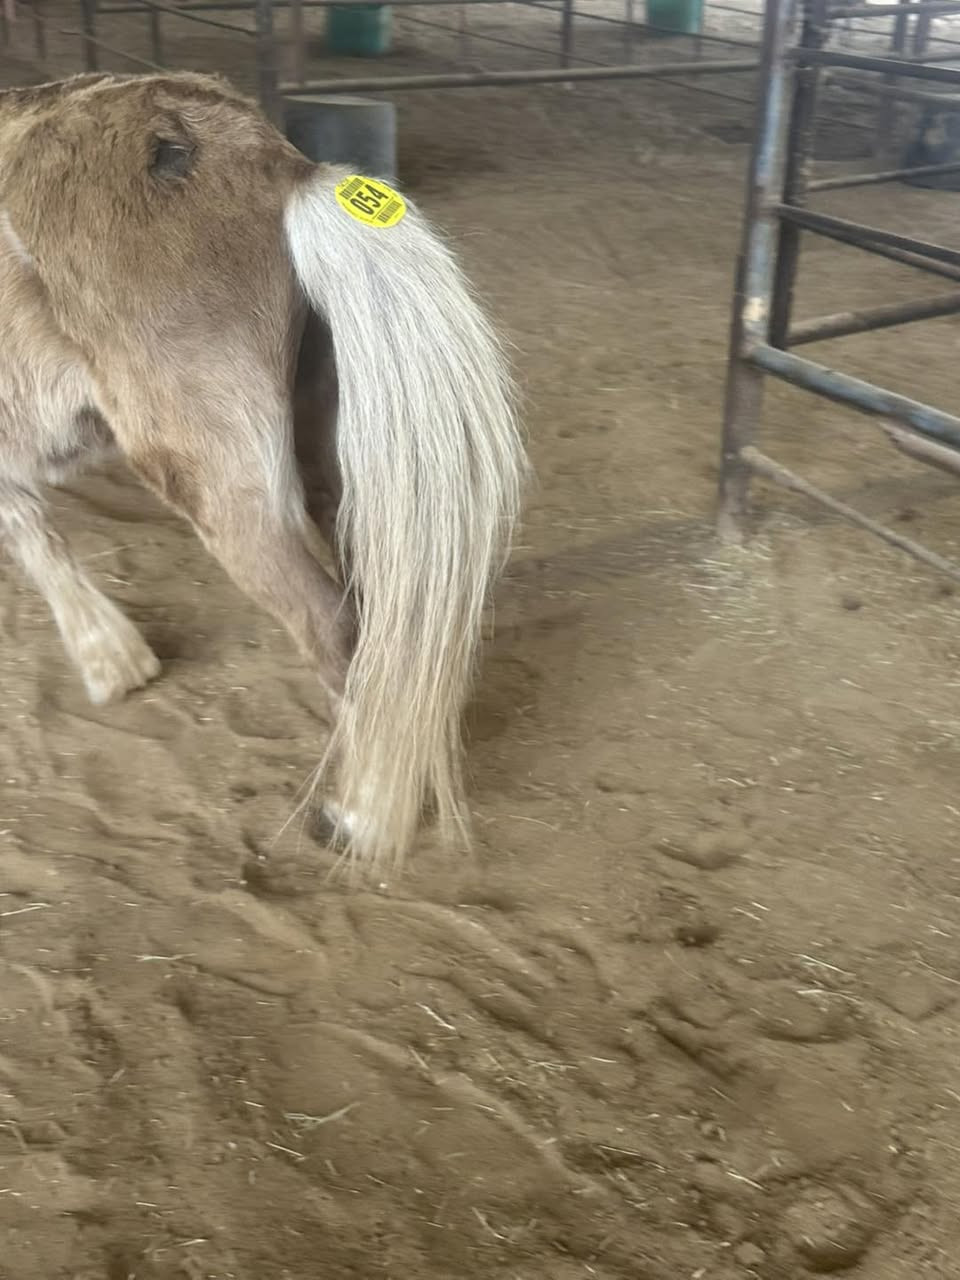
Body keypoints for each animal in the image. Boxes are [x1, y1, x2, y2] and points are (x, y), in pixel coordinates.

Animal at [0, 70, 526, 879]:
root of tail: (279, 169)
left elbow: (30, 531)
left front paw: (109, 661)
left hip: (228, 491)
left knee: (334, 632)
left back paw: (364, 815)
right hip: (333, 463)